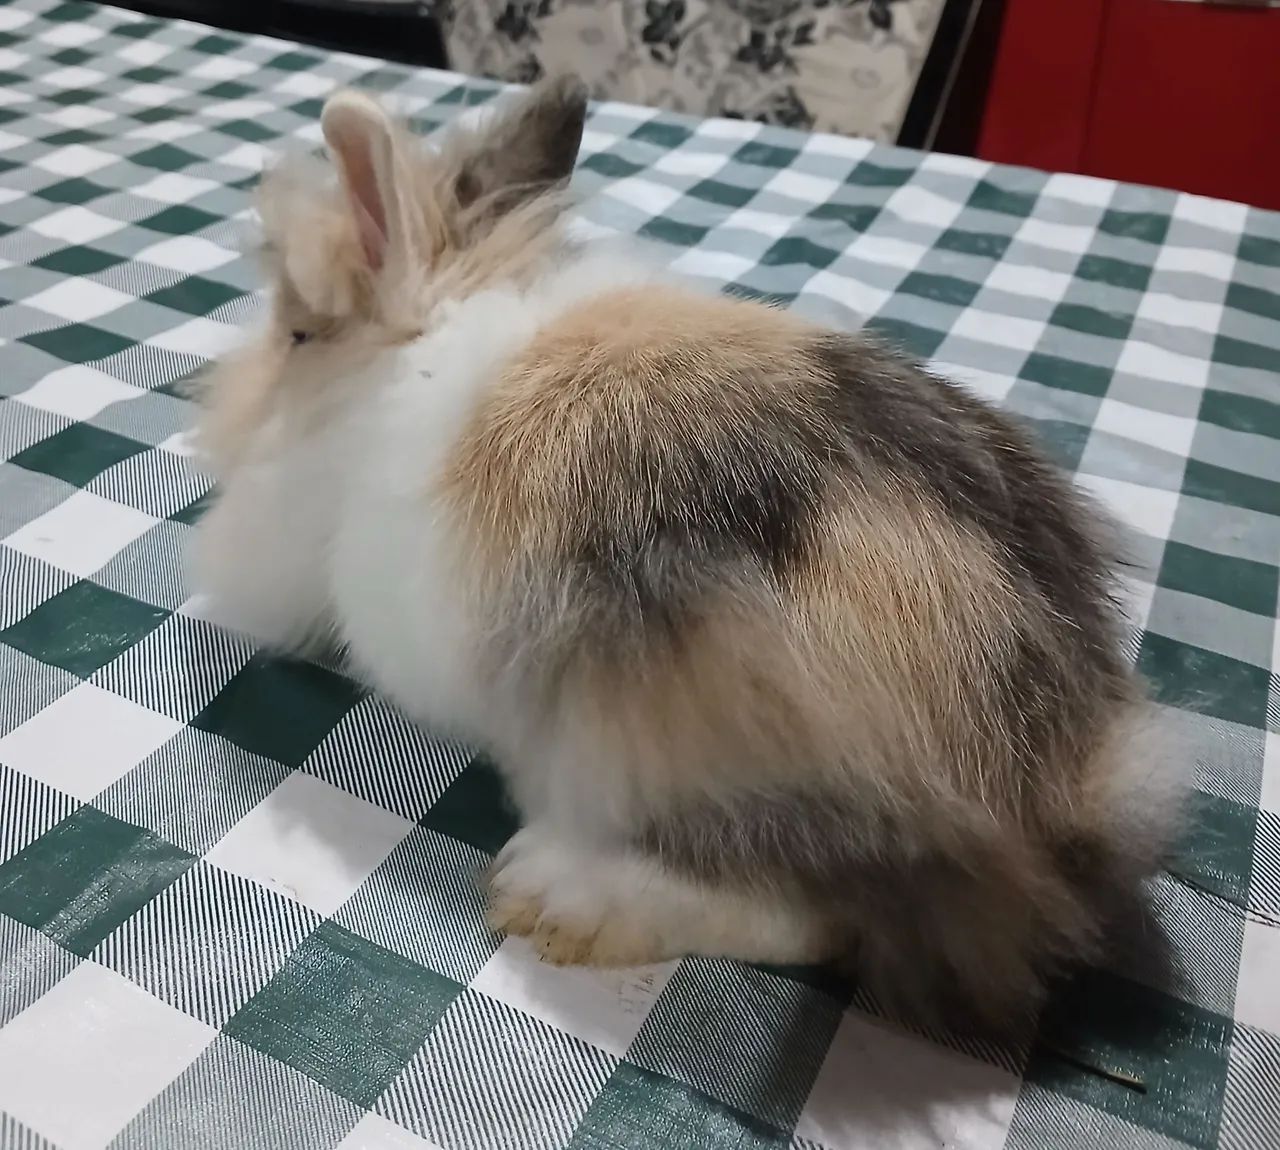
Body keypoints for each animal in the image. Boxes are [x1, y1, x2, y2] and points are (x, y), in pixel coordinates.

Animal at [187, 75, 1188, 1031]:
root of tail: (1058, 790)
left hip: (667, 727)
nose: (221, 420)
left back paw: (563, 895)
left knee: (818, 914)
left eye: (299, 335)